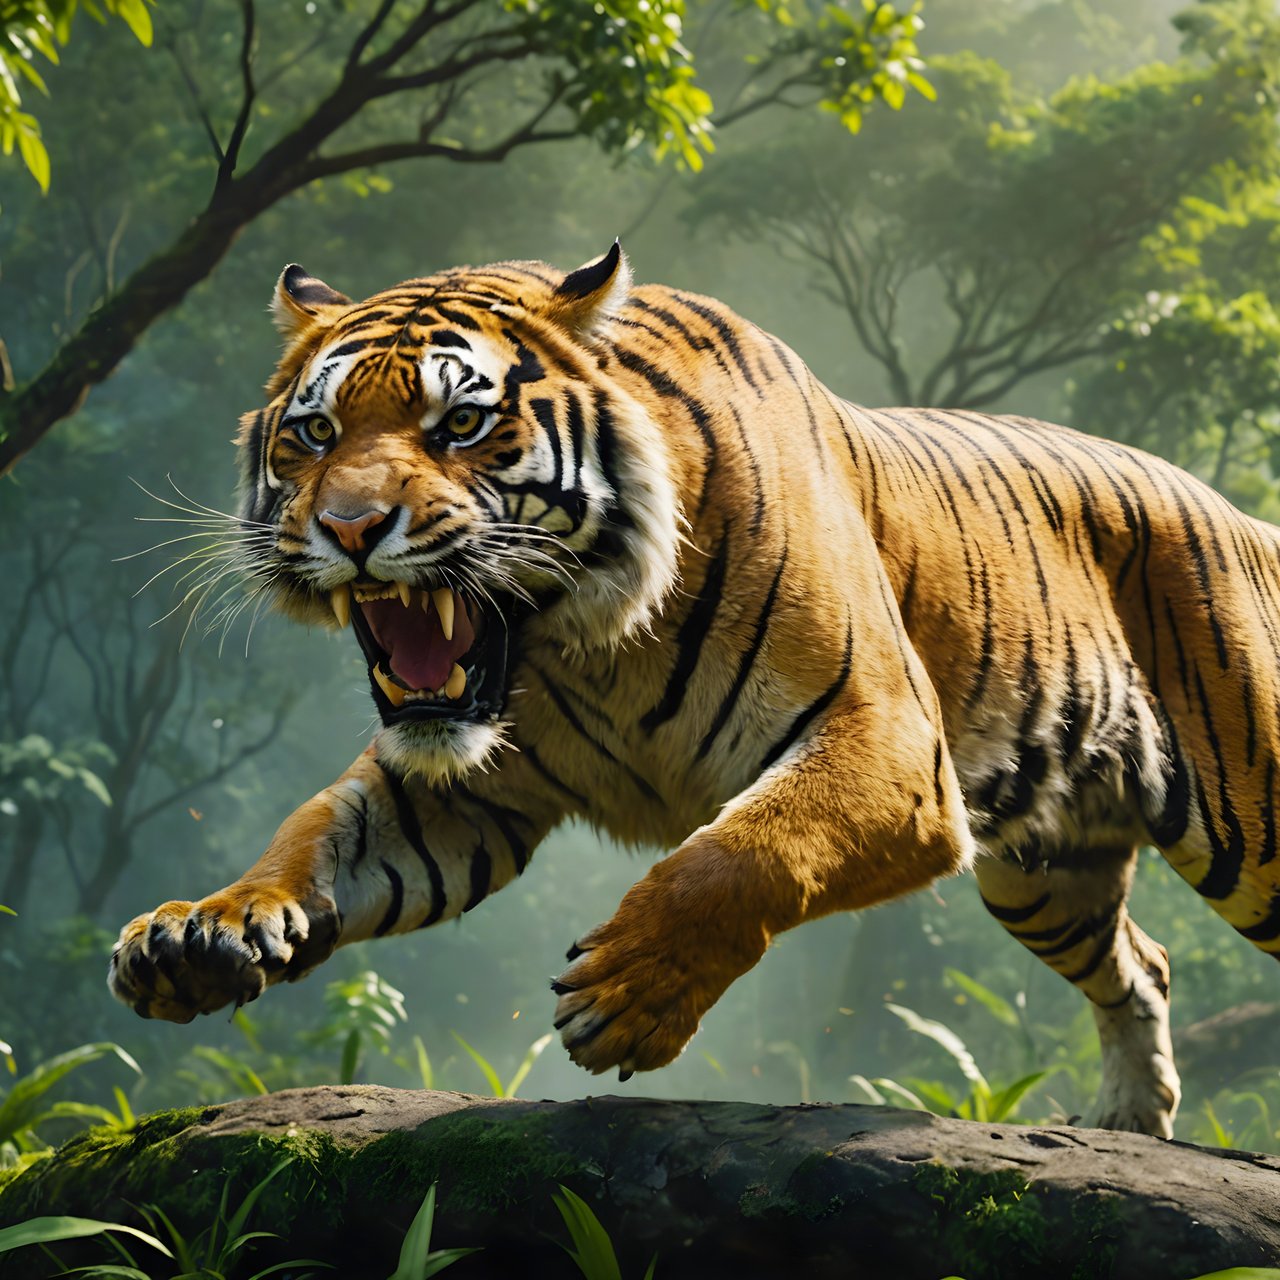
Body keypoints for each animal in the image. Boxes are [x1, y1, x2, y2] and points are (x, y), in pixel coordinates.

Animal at [109, 243, 1280, 1139]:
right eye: (313, 432)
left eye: (459, 426)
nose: (349, 528)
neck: (582, 642)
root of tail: (1240, 515)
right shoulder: (456, 792)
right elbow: (318, 834)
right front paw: (203, 931)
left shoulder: (887, 740)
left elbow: (743, 851)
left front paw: (627, 997)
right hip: (1044, 873)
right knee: (1143, 962)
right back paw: (1128, 1120)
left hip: (1249, 828)